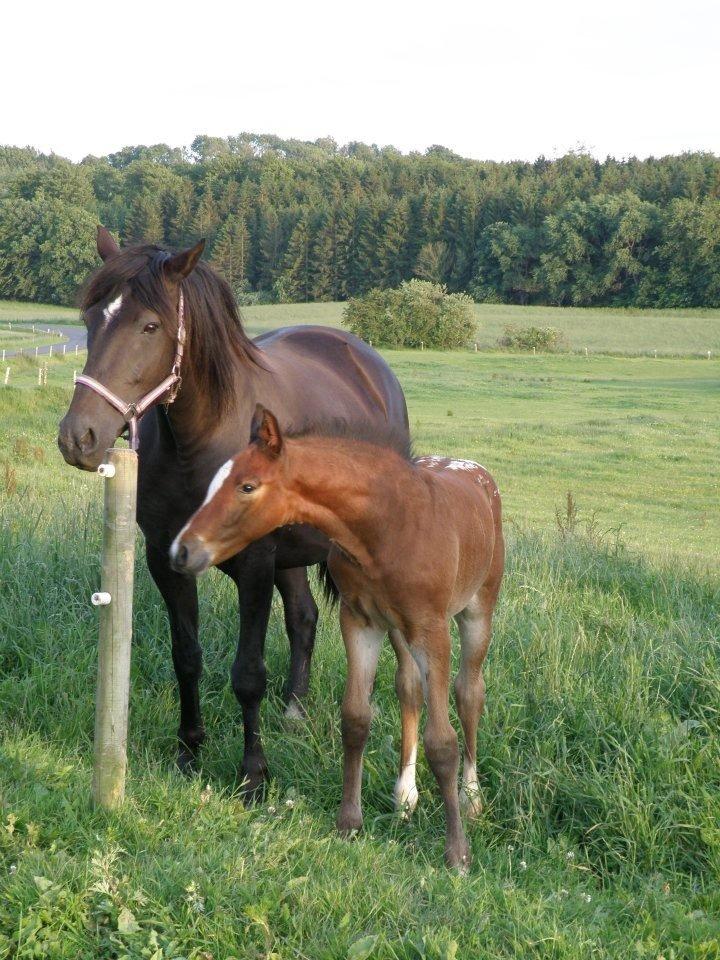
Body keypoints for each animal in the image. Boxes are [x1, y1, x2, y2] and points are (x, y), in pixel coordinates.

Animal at [171, 404, 504, 872]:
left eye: (247, 486)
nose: (182, 551)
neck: (385, 527)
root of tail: (475, 471)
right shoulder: (359, 622)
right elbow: (356, 718)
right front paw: (349, 823)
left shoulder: (431, 628)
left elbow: (443, 741)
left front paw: (457, 854)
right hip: (397, 631)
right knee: (409, 688)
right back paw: (405, 796)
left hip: (477, 610)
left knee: (469, 691)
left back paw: (472, 798)